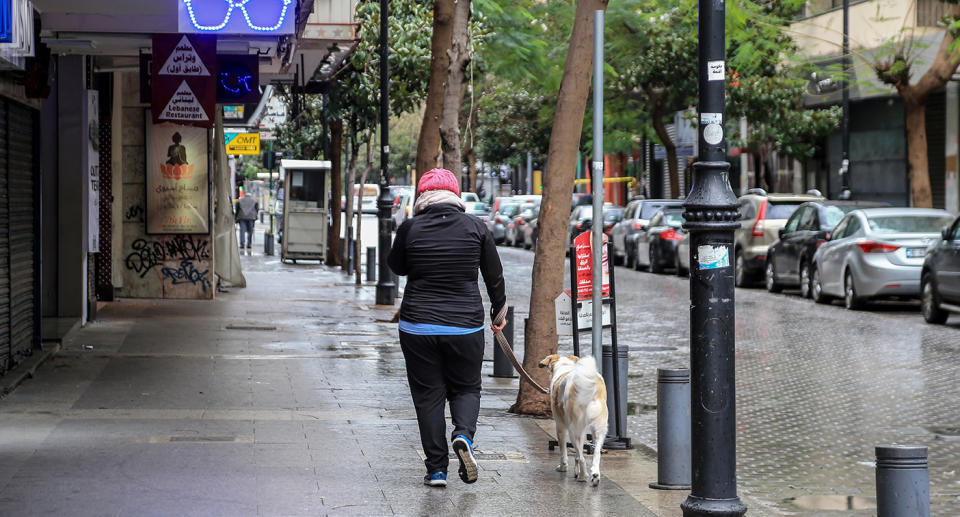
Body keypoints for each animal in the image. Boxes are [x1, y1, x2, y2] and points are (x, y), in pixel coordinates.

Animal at [540, 350, 608, 484]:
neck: (565, 367)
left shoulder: (560, 427)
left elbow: (563, 451)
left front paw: (563, 467)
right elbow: (578, 455)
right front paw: (576, 471)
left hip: (574, 431)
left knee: (582, 457)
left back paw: (582, 476)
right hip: (599, 429)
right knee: (596, 453)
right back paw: (595, 475)